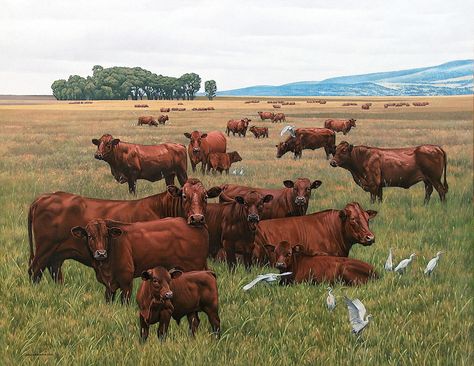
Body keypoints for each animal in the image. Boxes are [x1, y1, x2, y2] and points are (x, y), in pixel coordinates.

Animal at [27, 179, 222, 284]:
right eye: (184, 196)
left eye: (205, 196)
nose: (197, 218)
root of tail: (45, 197)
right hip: (44, 250)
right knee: (34, 271)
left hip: (57, 254)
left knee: (54, 271)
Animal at [71, 217, 209, 304]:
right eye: (90, 236)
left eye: (106, 236)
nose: (101, 253)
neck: (105, 267)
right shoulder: (108, 286)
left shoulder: (126, 281)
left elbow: (124, 302)